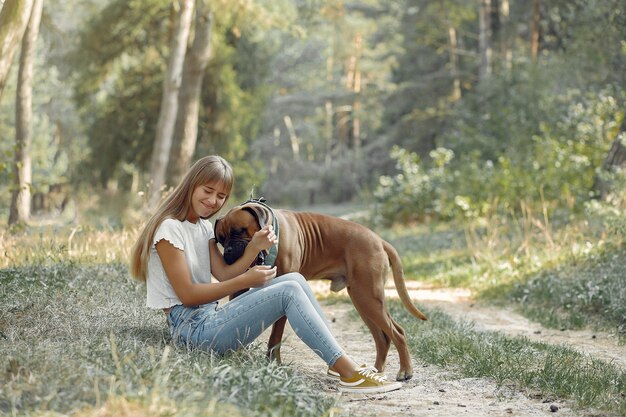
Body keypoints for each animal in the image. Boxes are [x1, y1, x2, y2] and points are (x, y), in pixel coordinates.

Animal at [212, 200, 426, 378]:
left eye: (239, 231)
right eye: (220, 240)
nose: (228, 251)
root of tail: (379, 240)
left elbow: (275, 336)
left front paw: (274, 363)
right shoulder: (238, 291)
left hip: (368, 298)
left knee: (398, 332)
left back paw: (405, 371)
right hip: (363, 302)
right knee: (382, 338)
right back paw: (377, 369)